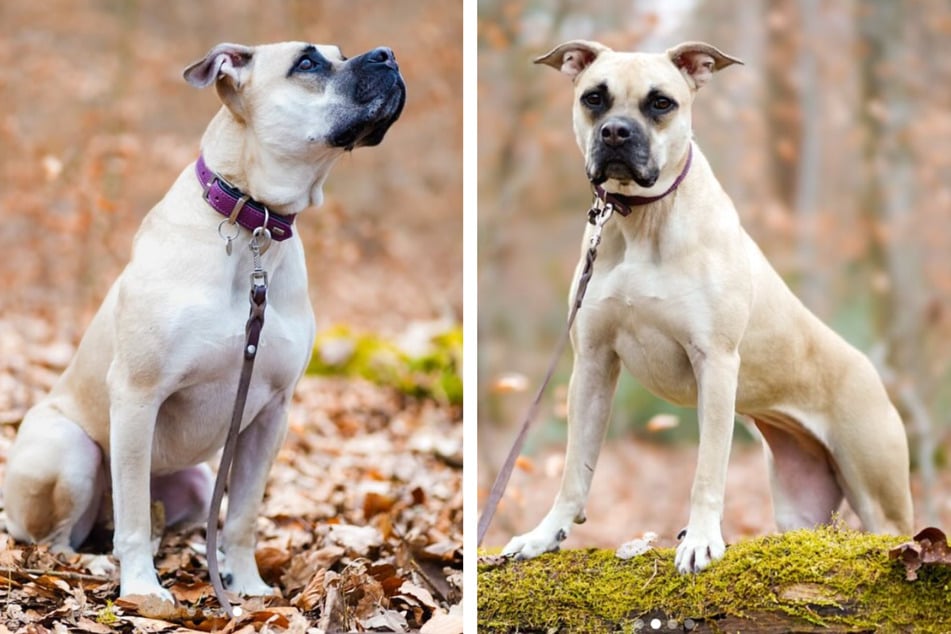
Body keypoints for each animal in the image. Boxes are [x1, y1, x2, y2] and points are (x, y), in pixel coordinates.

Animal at [3, 40, 406, 596]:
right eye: (307, 63)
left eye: (339, 53)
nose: (387, 55)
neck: (252, 220)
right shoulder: (137, 396)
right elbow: (133, 515)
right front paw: (142, 589)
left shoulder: (272, 413)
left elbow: (241, 515)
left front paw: (247, 586)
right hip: (71, 450)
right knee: (61, 536)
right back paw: (89, 564)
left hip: (194, 483)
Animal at [506, 39, 916, 572]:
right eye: (594, 97)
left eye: (661, 103)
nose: (615, 132)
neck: (643, 220)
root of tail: (870, 371)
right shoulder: (593, 363)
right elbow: (576, 466)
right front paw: (544, 534)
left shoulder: (715, 363)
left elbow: (707, 469)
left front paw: (700, 539)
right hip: (799, 502)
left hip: (880, 496)